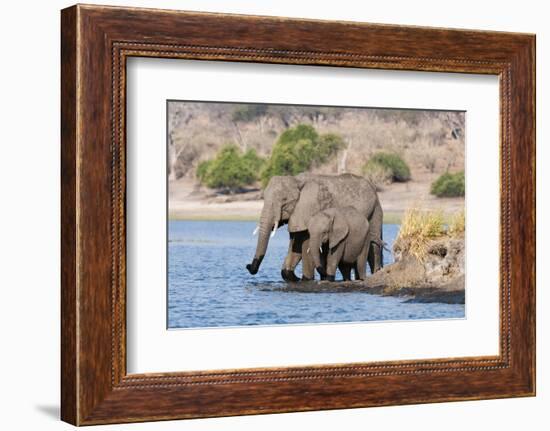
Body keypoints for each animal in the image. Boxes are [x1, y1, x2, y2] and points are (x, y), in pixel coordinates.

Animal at [246, 174, 384, 282]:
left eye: (285, 201)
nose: (248, 266)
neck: (296, 180)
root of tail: (373, 187)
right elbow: (296, 244)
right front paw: (294, 277)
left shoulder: (310, 209)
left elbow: (306, 244)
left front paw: (306, 279)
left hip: (374, 211)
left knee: (373, 246)